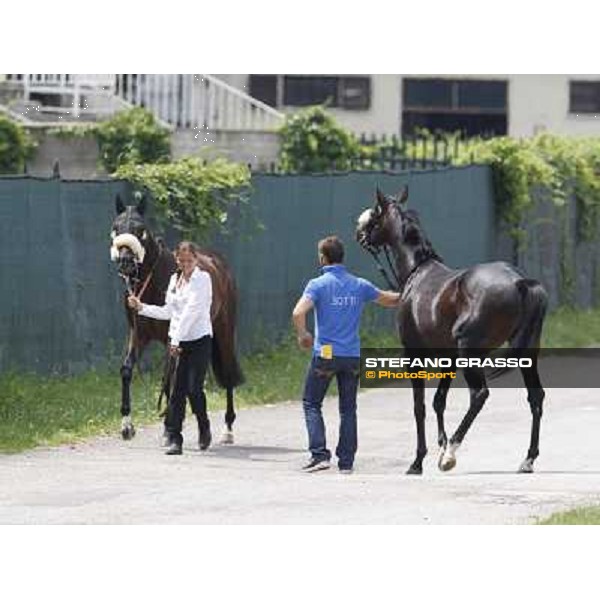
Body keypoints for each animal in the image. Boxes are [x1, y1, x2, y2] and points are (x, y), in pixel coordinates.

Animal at [110, 195, 244, 442]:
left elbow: (170, 378)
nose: (125, 262)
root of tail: (218, 262)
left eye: (140, 230)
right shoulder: (138, 333)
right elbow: (127, 370)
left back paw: (228, 428)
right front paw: (127, 426)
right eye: (116, 228)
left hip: (224, 330)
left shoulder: (171, 338)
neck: (152, 283)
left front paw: (168, 426)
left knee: (228, 373)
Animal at [356, 185, 548, 476]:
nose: (360, 234)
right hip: (526, 353)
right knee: (535, 397)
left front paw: (419, 461)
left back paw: (451, 453)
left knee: (479, 395)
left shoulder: (413, 355)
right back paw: (527, 459)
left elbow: (420, 406)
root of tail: (520, 282)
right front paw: (440, 444)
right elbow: (439, 400)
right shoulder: (449, 357)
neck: (417, 273)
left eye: (376, 214)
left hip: (471, 352)